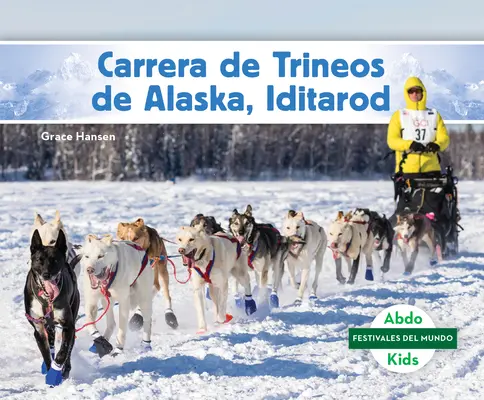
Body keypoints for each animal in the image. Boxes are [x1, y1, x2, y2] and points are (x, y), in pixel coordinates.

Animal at [24, 230, 79, 386]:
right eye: (39, 260)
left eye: (54, 260)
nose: (46, 275)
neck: (47, 299)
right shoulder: (39, 329)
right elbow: (47, 355)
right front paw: (49, 370)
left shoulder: (68, 326)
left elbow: (63, 352)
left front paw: (55, 373)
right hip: (49, 328)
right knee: (52, 343)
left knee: (69, 350)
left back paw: (65, 370)